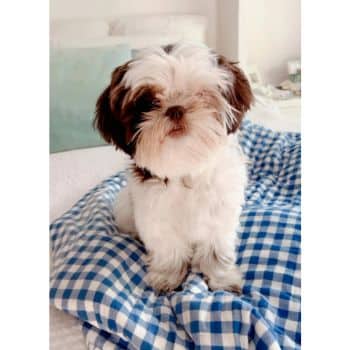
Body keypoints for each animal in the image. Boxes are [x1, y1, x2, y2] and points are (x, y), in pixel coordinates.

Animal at [93, 43, 252, 292]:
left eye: (199, 94)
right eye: (148, 103)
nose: (175, 108)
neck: (184, 164)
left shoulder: (220, 215)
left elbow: (216, 249)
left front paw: (221, 278)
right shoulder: (155, 216)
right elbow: (169, 249)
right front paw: (168, 276)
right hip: (124, 207)